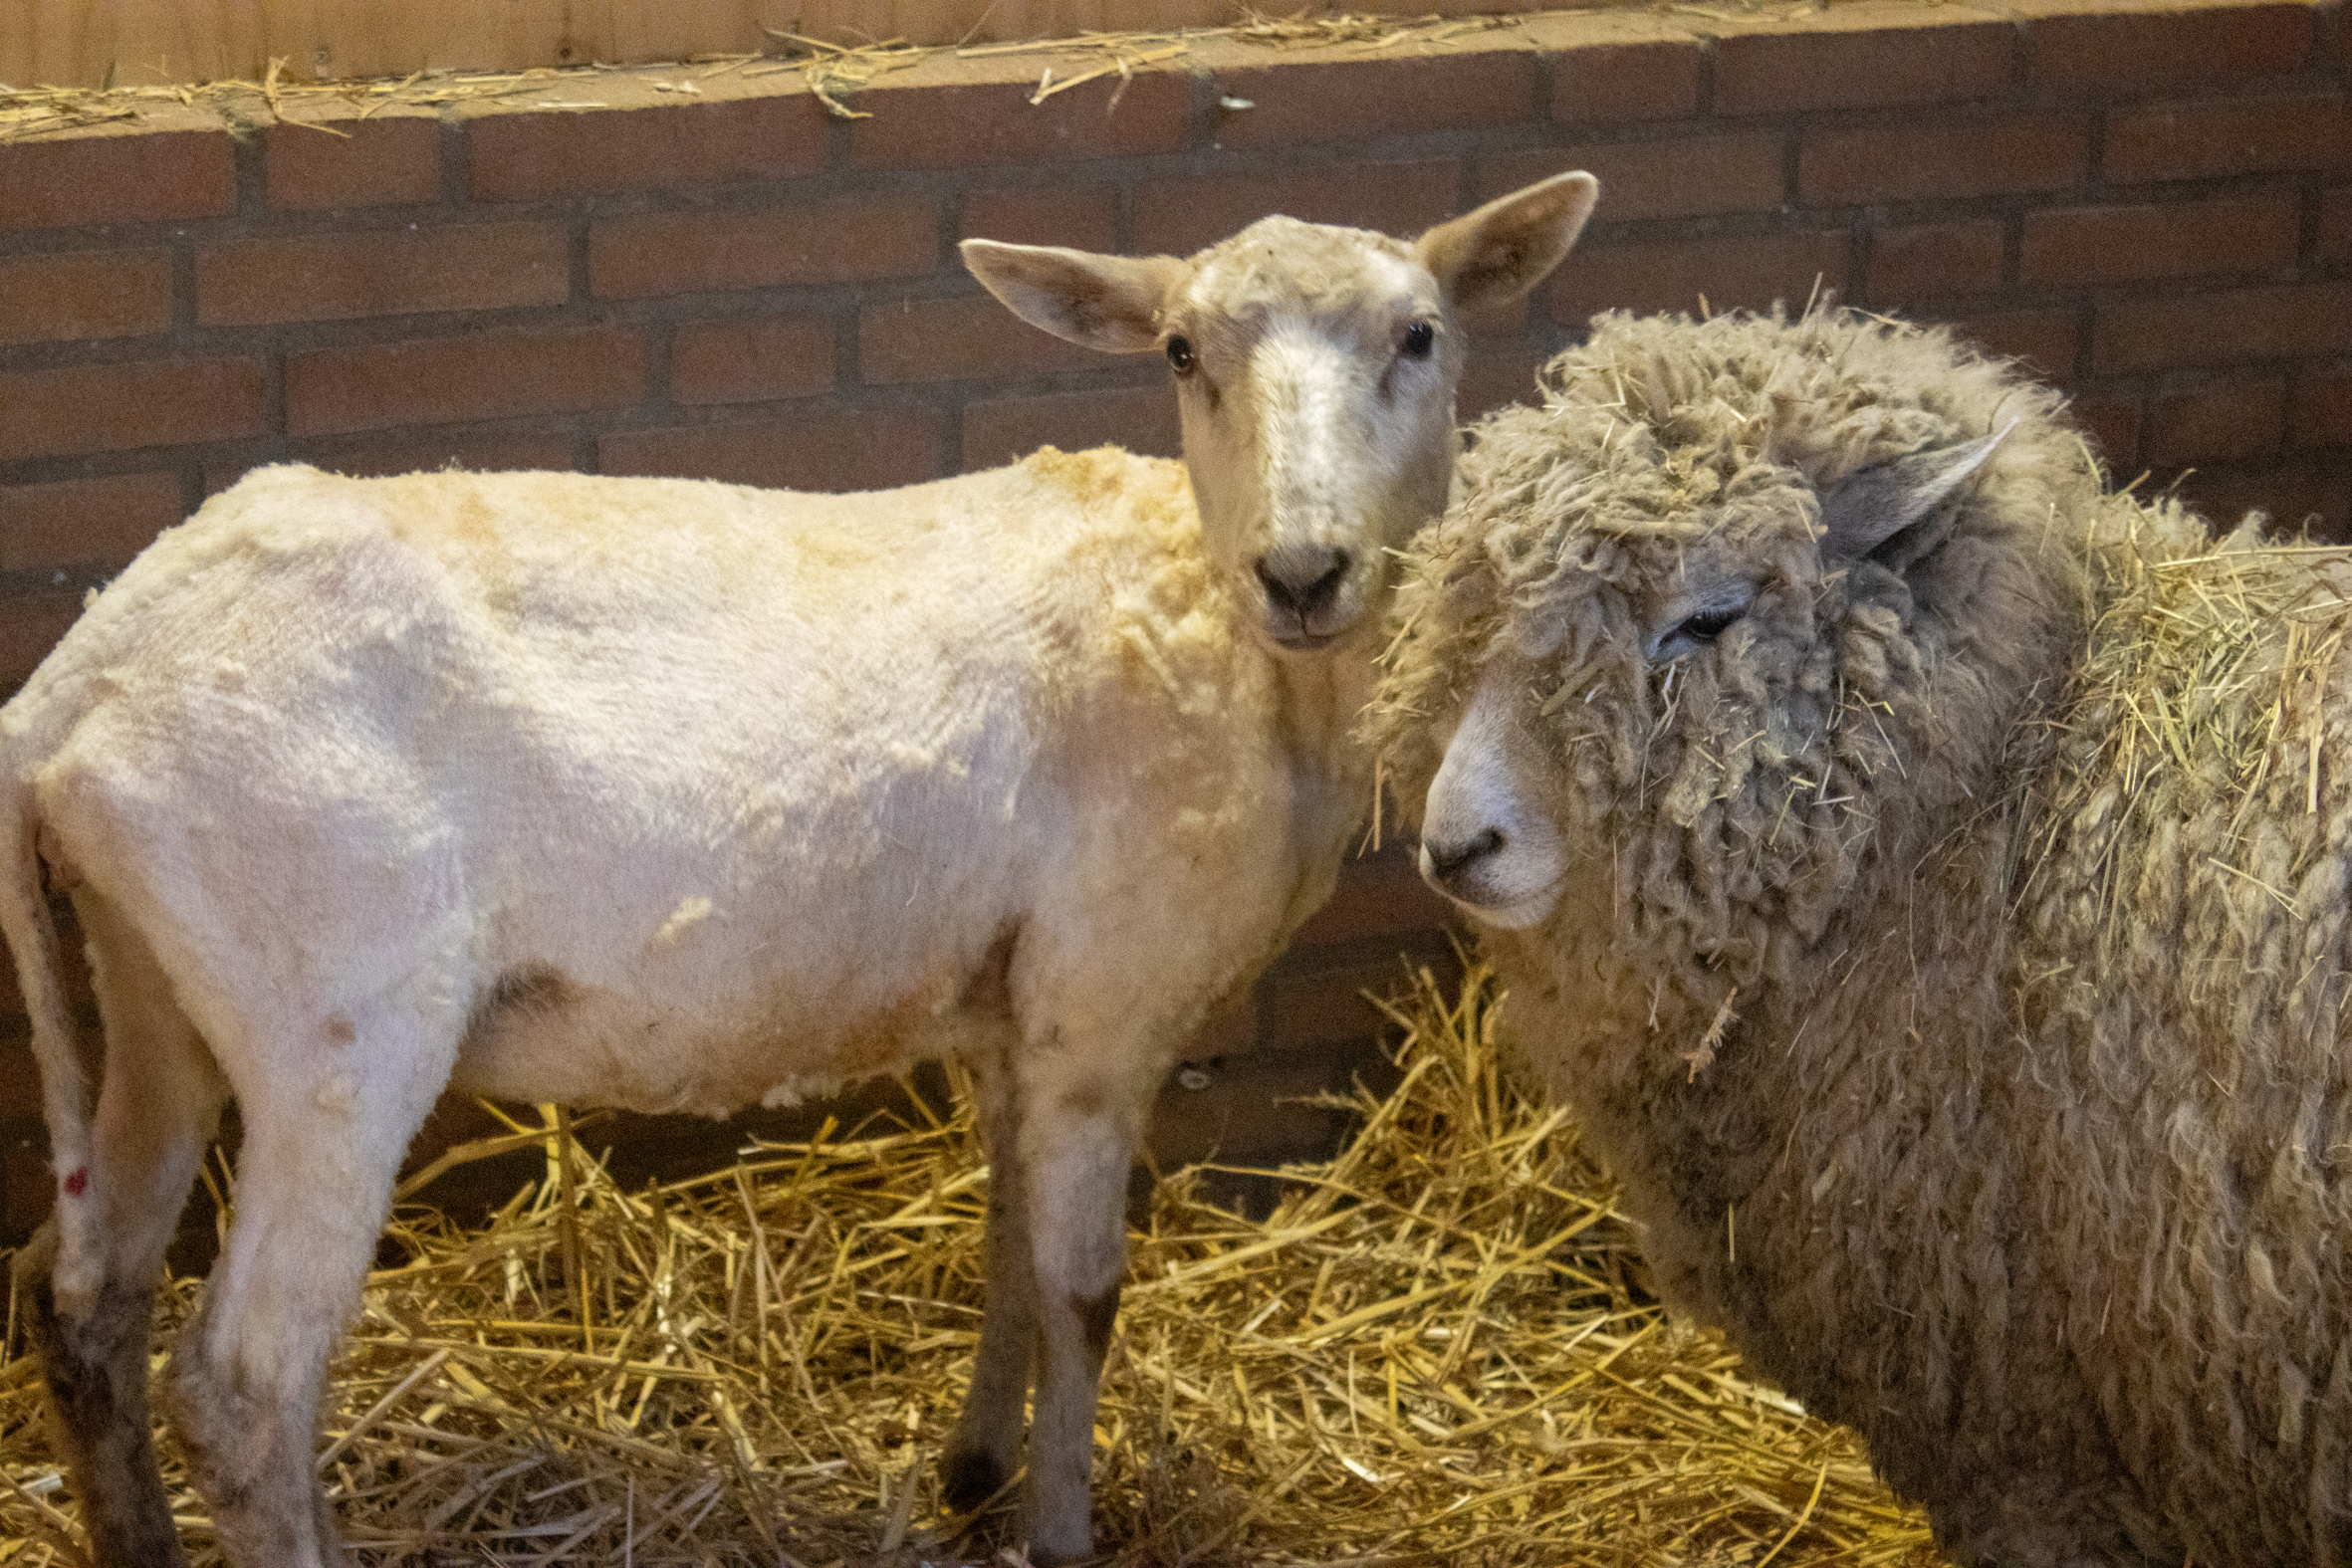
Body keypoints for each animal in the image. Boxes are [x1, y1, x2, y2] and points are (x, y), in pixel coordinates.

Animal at [0, 169, 1601, 1568]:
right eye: (1180, 349)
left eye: (1419, 335)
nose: (1305, 569)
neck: (1242, 644)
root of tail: (71, 693)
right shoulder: (1102, 993)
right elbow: (1084, 1287)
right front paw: (1059, 1528)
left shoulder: (1009, 1000)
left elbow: (1006, 1242)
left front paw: (971, 1468)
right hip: (330, 1010)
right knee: (246, 1383)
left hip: (154, 988)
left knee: (83, 1300)